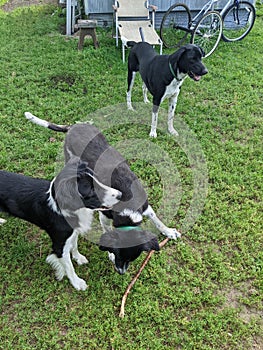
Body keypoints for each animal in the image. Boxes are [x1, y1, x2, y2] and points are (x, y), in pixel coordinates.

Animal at [0, 158, 121, 290]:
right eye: (92, 190)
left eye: (98, 179)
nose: (120, 195)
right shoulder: (59, 245)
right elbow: (69, 267)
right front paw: (77, 283)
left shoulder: (73, 231)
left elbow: (74, 245)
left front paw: (78, 258)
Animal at [24, 112, 182, 274]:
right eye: (119, 255)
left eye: (132, 258)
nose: (121, 272)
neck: (129, 205)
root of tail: (73, 126)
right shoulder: (105, 215)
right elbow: (107, 231)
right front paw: (109, 255)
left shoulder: (145, 206)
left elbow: (157, 220)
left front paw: (169, 231)